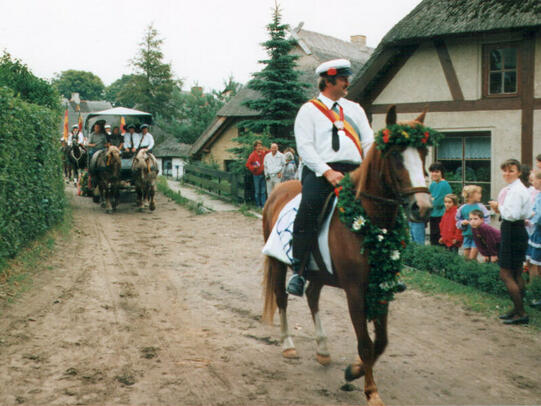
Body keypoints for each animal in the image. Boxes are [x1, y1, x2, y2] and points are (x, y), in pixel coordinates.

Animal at [260, 106, 430, 404]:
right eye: (395, 155)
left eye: (423, 153)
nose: (422, 207)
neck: (368, 221)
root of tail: (278, 190)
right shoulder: (355, 290)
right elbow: (366, 343)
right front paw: (370, 390)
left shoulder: (381, 285)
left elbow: (381, 342)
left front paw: (354, 370)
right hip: (279, 264)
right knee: (282, 298)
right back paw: (288, 344)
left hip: (318, 272)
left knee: (312, 296)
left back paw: (323, 349)